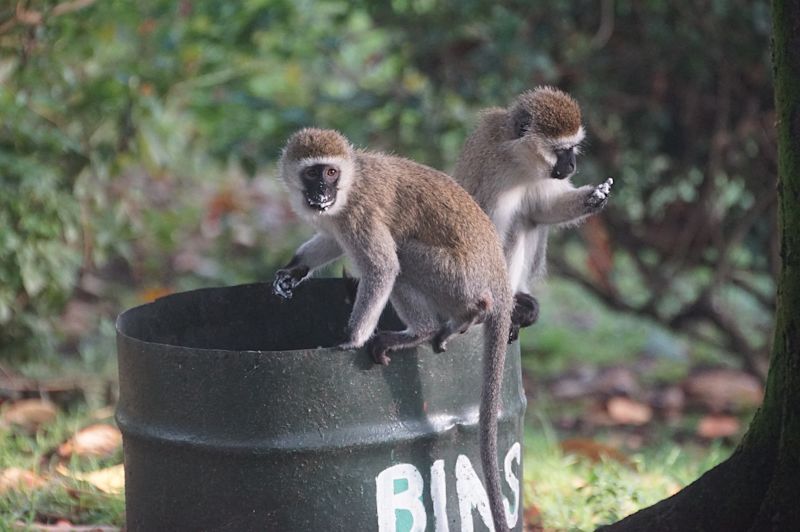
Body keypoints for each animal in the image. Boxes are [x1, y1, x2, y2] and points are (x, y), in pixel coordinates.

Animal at [274, 129, 512, 532]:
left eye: (331, 173)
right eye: (312, 173)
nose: (321, 192)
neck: (351, 184)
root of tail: (499, 274)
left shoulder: (359, 216)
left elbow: (383, 267)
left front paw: (351, 339)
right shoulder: (335, 221)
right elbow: (331, 241)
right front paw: (293, 270)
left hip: (458, 278)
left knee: (402, 255)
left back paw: (446, 322)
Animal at [454, 85, 616, 338]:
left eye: (572, 149)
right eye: (561, 150)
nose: (572, 165)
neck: (519, 160)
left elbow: (543, 208)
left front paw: (593, 197)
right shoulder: (495, 175)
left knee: (527, 219)